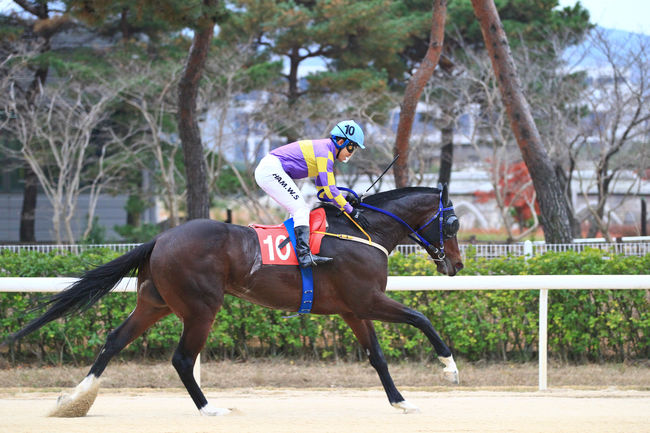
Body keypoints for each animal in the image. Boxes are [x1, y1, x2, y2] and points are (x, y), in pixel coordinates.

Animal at [5, 184, 460, 416]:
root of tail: (160, 239)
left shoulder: (353, 309)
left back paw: (73, 400)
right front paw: (449, 370)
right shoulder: (367, 300)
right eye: (452, 222)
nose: (455, 264)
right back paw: (209, 409)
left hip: (156, 303)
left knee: (114, 339)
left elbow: (377, 356)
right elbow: (421, 317)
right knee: (182, 359)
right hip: (201, 307)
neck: (362, 231)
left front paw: (401, 401)